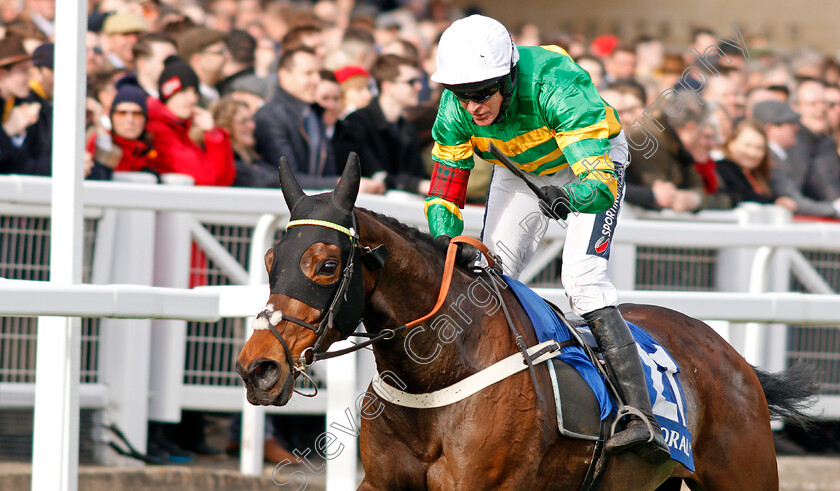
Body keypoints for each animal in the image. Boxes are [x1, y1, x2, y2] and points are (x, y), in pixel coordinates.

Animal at [236, 156, 812, 490]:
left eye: (326, 264)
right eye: (269, 261)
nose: (258, 368)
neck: (437, 372)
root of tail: (729, 354)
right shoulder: (381, 483)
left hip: (744, 473)